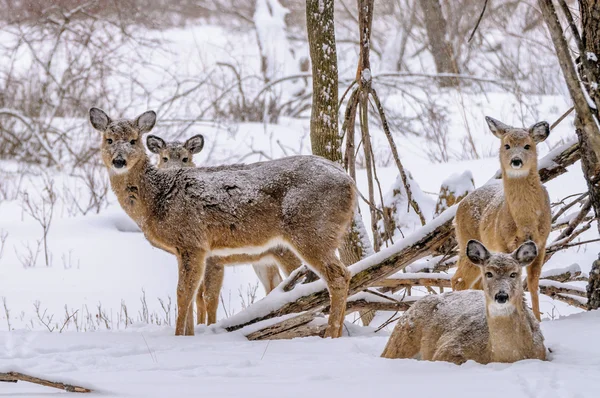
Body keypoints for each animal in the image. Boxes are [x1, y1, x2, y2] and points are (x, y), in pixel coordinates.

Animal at [90, 107, 356, 338]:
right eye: (109, 139)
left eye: (133, 140)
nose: (119, 161)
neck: (157, 199)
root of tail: (350, 182)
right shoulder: (186, 250)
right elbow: (193, 296)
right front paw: (188, 336)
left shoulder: (193, 242)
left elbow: (184, 294)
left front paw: (178, 338)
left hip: (311, 230)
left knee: (338, 276)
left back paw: (330, 335)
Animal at [450, 116, 552, 320]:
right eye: (507, 145)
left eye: (527, 145)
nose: (516, 160)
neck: (526, 221)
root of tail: (460, 206)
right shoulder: (502, 243)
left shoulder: (542, 243)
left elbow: (533, 284)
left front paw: (538, 319)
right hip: (467, 240)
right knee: (459, 280)